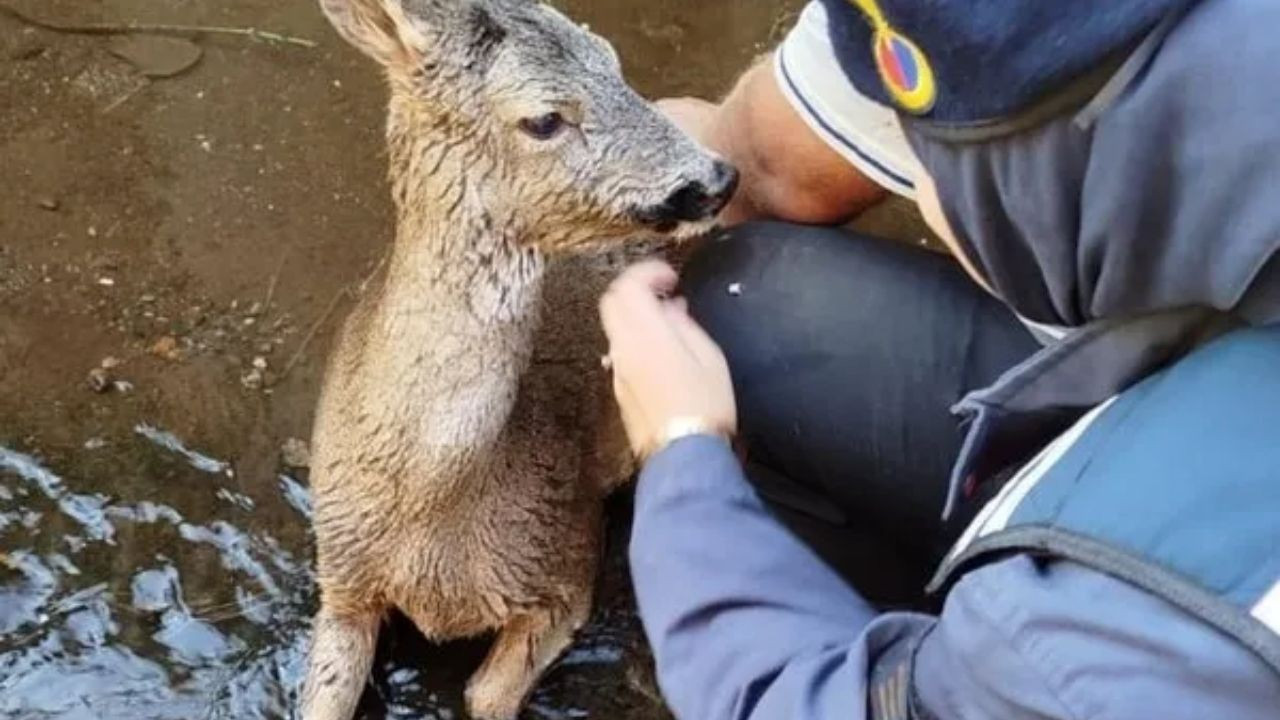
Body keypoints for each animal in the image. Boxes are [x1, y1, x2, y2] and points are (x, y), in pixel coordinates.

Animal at [302, 1, 742, 717]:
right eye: (543, 119)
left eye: (612, 60)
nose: (718, 179)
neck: (430, 519)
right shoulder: (339, 575)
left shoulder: (564, 560)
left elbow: (484, 695)